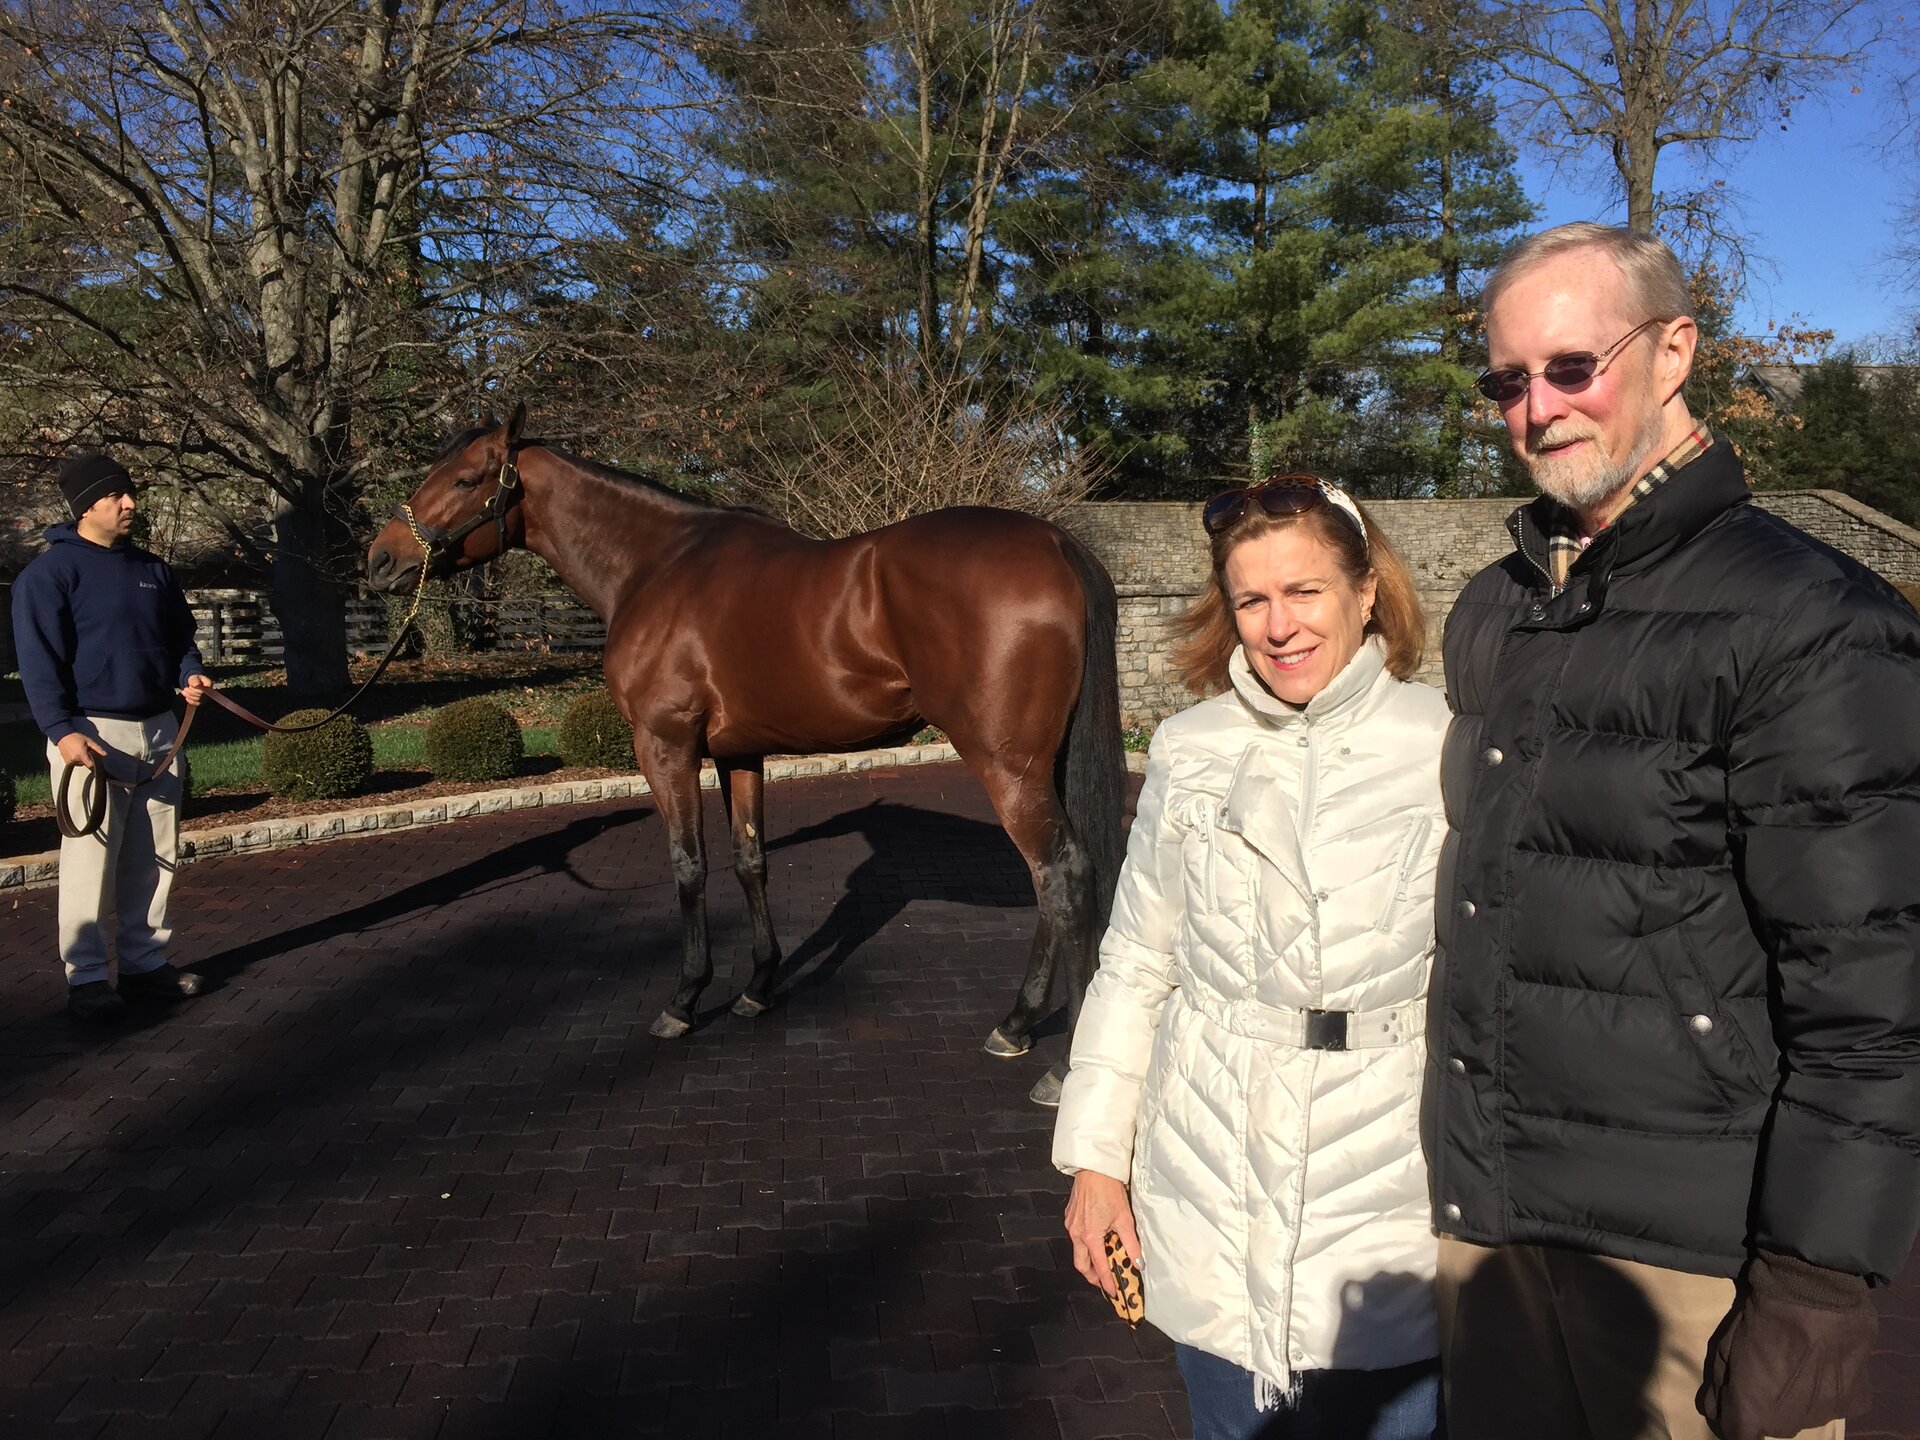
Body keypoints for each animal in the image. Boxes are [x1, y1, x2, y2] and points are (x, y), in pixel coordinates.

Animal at [365, 406, 1126, 1103]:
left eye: (466, 478)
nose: (380, 558)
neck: (655, 566)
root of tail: (1057, 543)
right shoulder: (740, 754)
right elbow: (749, 860)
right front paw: (758, 988)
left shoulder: (665, 745)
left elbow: (688, 865)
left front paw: (684, 1001)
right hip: (1040, 764)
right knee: (1054, 882)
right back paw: (1017, 1024)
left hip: (1006, 764)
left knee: (1062, 877)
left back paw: (1062, 1069)